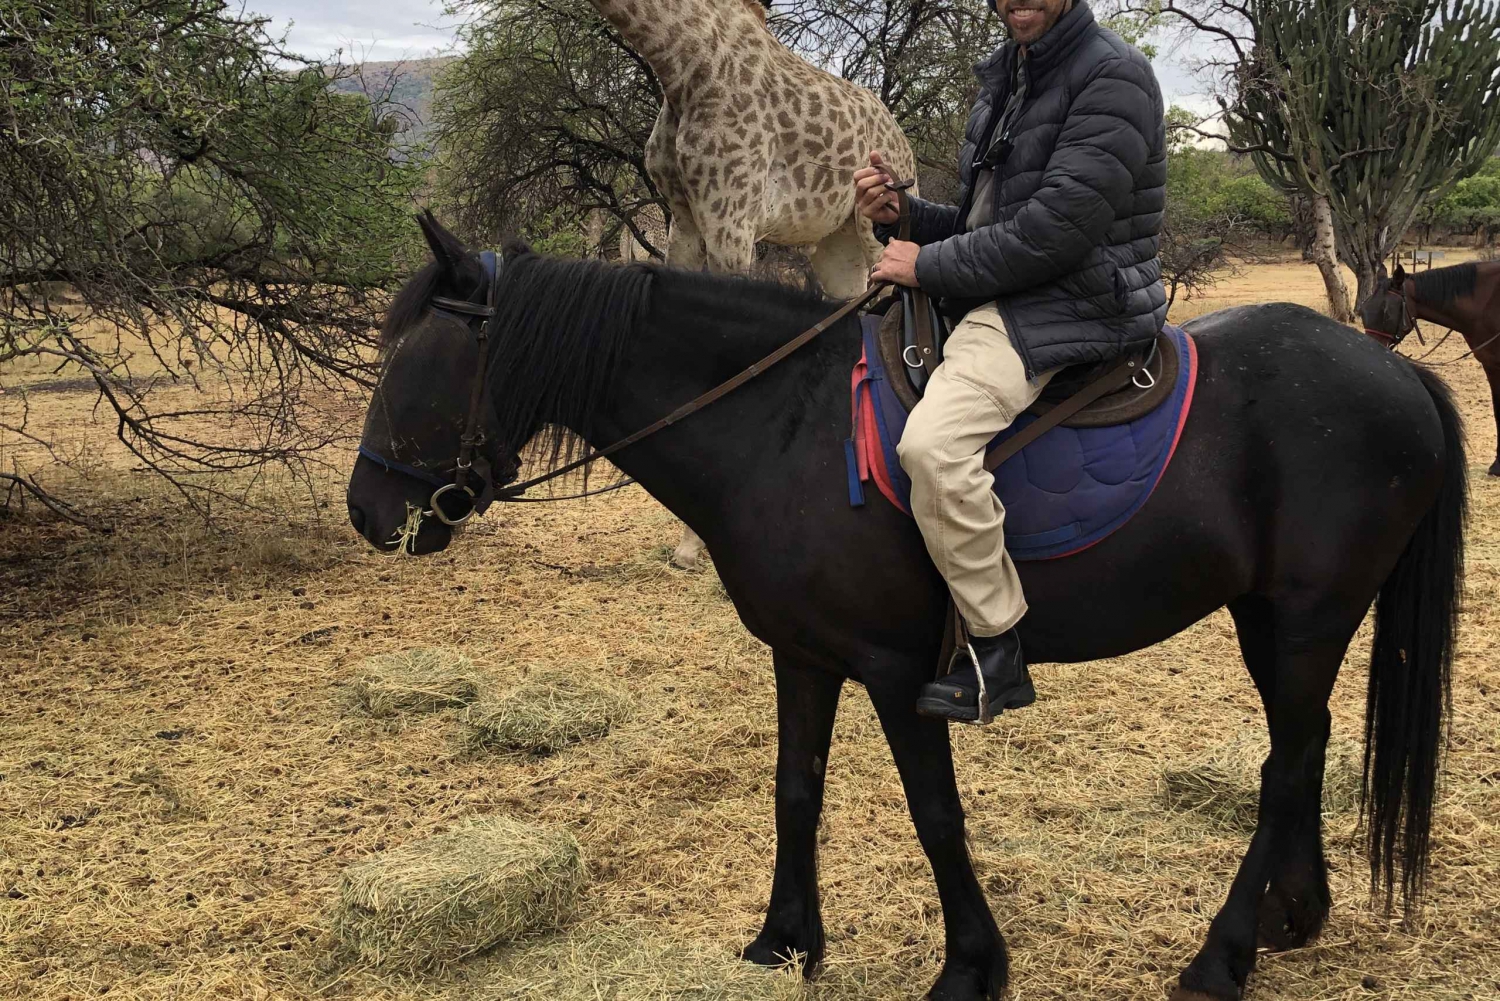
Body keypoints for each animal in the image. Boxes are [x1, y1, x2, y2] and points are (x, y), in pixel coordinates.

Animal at [347, 215, 1466, 1001]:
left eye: (412, 364)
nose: (369, 511)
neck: (782, 424)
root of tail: (1394, 370)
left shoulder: (897, 673)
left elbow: (935, 813)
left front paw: (970, 964)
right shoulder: (801, 654)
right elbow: (794, 790)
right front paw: (782, 941)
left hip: (1309, 615)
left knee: (1283, 766)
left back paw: (1221, 954)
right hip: (1270, 618)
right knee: (1303, 749)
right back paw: (1293, 915)